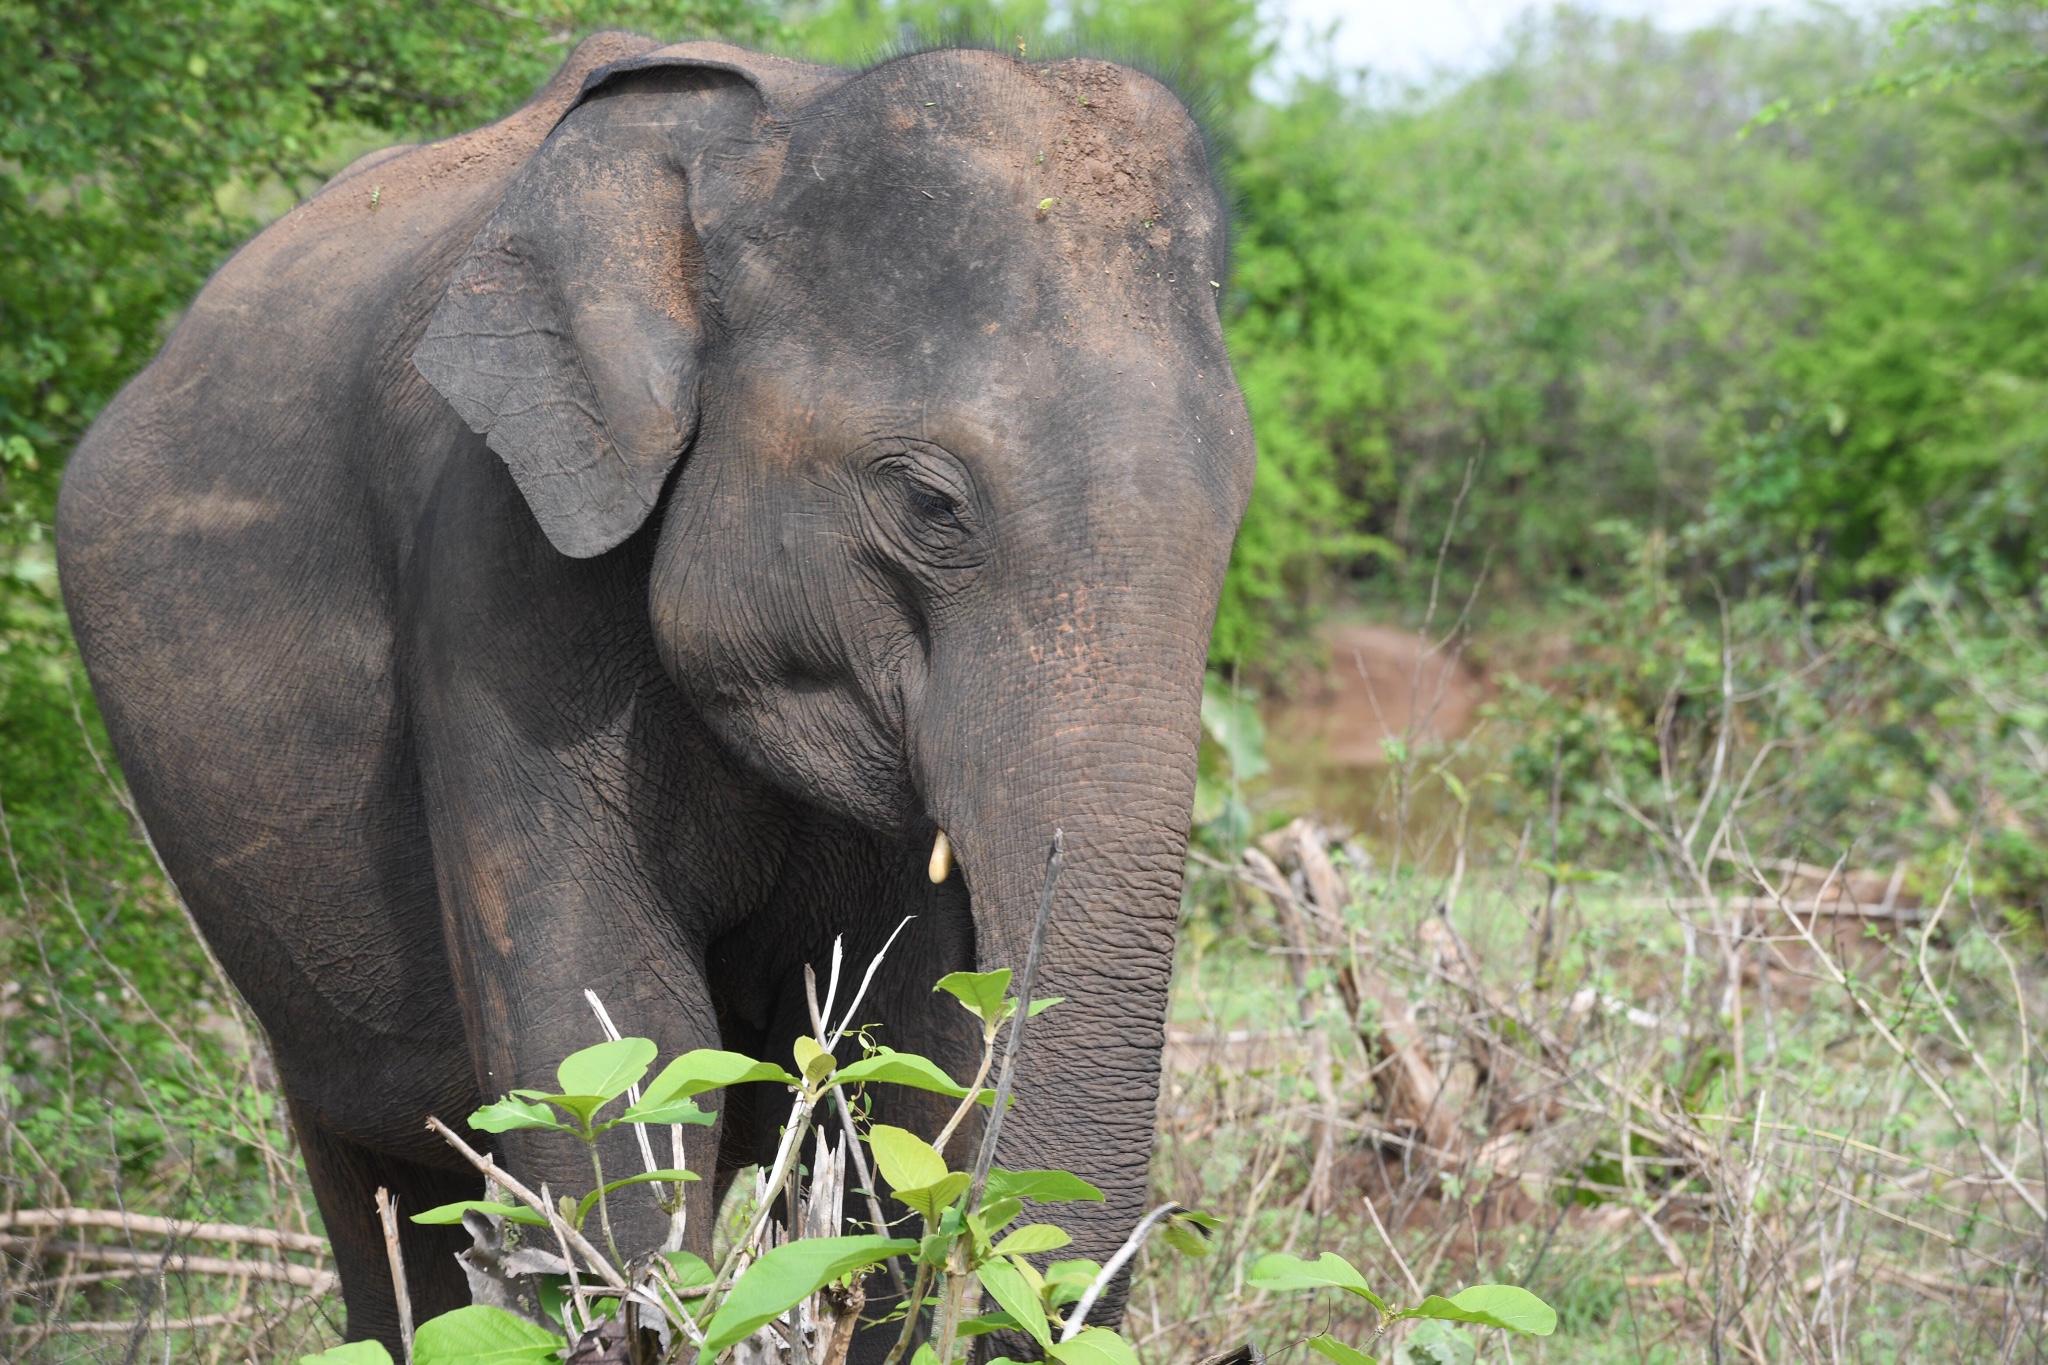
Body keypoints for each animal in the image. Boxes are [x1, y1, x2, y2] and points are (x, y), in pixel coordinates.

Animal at [51, 29, 1245, 1358]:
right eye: (931, 503)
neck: (760, 147)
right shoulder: (493, 558)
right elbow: (613, 1061)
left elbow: (899, 1084)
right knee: (375, 1184)